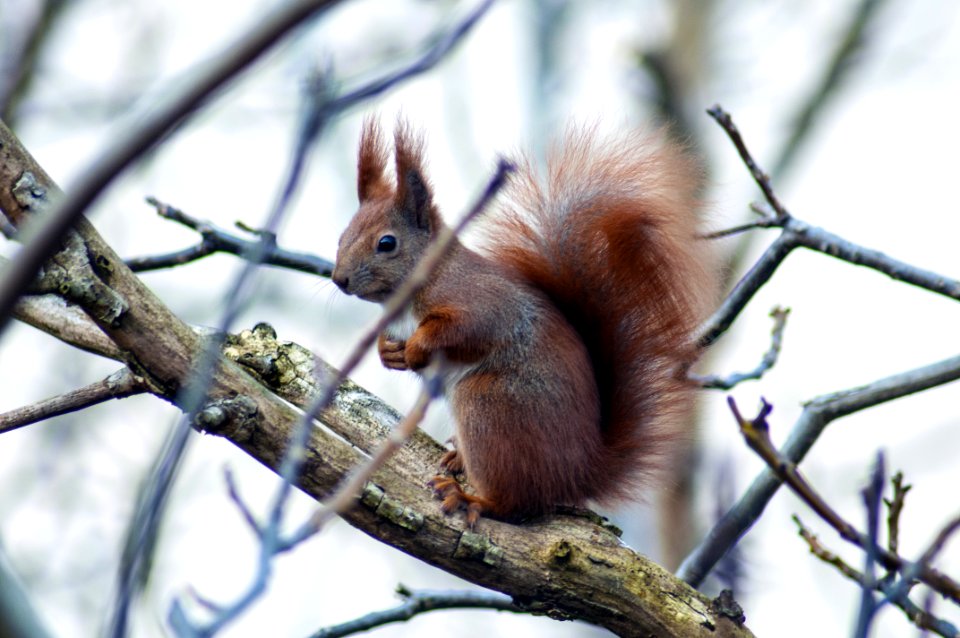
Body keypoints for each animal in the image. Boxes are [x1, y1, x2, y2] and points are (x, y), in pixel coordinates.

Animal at [334, 117, 716, 528]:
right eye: (342, 236)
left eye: (387, 243)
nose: (339, 279)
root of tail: (578, 473)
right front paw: (388, 352)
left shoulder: (481, 304)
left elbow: (462, 330)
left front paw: (418, 349)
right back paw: (458, 458)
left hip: (488, 406)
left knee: (518, 504)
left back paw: (473, 498)